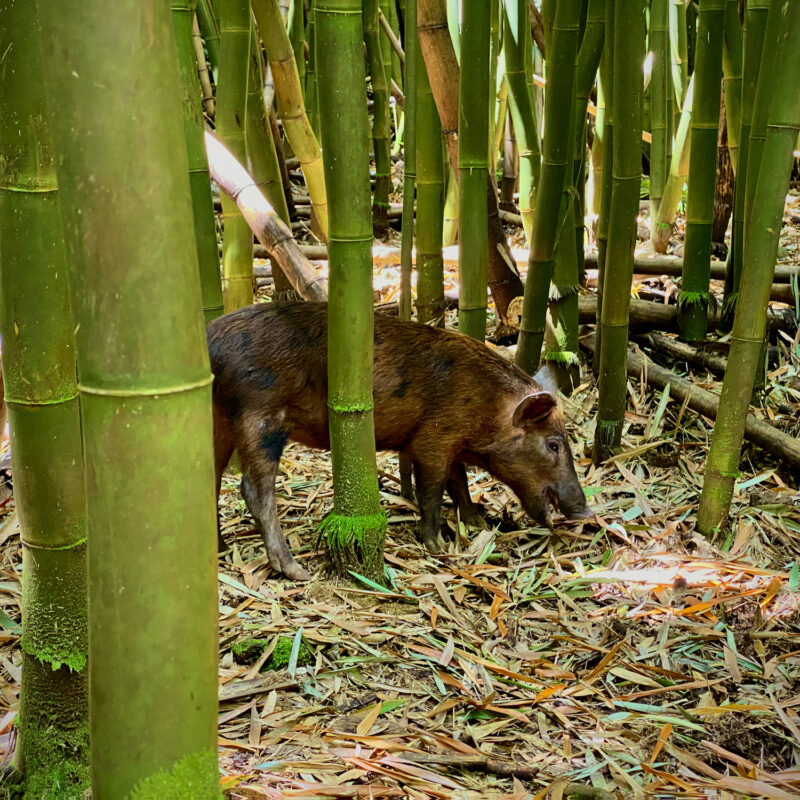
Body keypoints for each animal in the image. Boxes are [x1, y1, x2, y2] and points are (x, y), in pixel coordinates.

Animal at [208, 302, 592, 581]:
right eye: (554, 444)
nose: (585, 510)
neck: (486, 408)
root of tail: (209, 342)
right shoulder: (431, 440)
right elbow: (433, 489)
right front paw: (438, 546)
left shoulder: (452, 443)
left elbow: (460, 483)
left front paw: (478, 524)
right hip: (261, 415)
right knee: (253, 489)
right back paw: (296, 571)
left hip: (217, 421)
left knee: (209, 480)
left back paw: (220, 546)